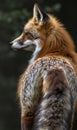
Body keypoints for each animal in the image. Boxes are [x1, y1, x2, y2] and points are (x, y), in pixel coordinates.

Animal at [10, 2, 77, 130]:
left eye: (27, 34)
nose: (11, 43)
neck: (54, 51)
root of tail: (56, 68)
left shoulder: (25, 108)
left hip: (27, 109)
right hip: (70, 113)